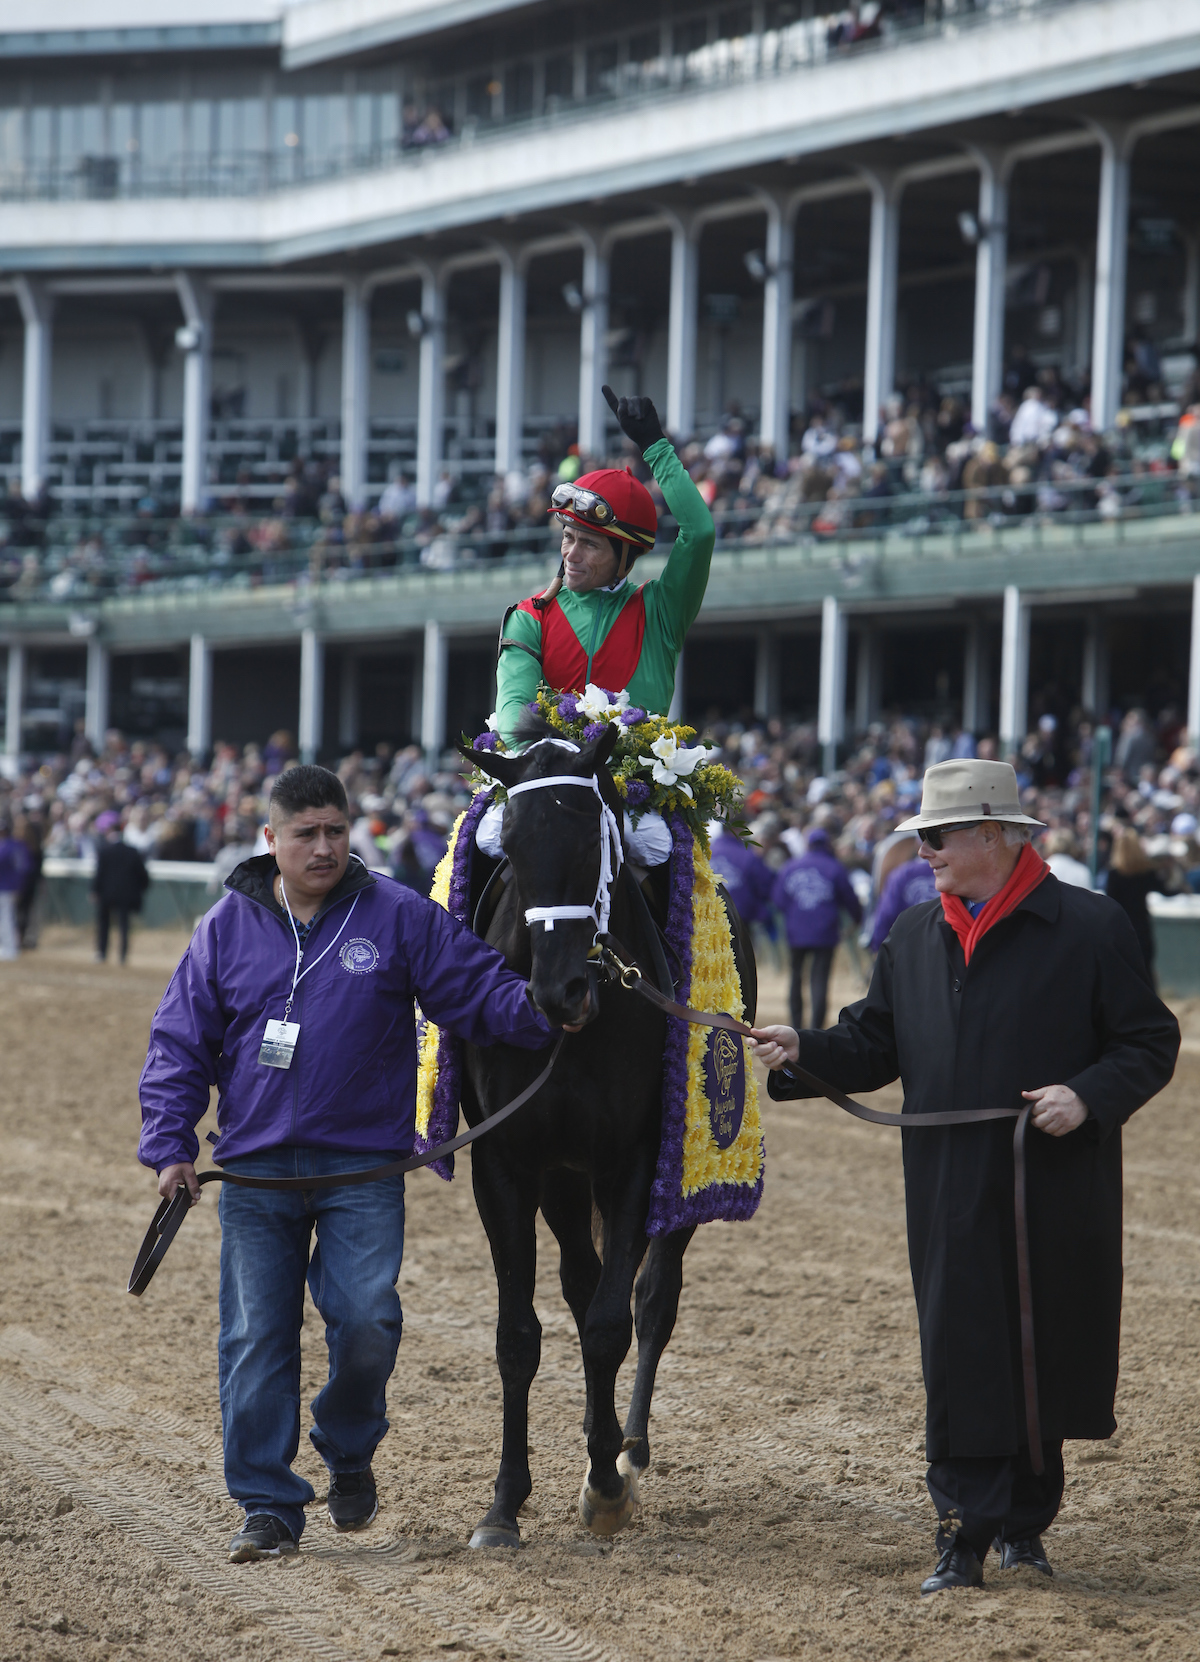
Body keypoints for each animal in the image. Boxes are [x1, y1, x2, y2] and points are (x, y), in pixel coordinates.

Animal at [455, 727, 747, 1542]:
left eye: (593, 839)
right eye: (513, 846)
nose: (560, 994)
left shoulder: (634, 1161)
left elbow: (614, 1322)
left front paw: (606, 1484)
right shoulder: (506, 1162)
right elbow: (519, 1334)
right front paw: (504, 1502)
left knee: (651, 1298)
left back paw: (628, 1447)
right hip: (562, 1179)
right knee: (581, 1285)